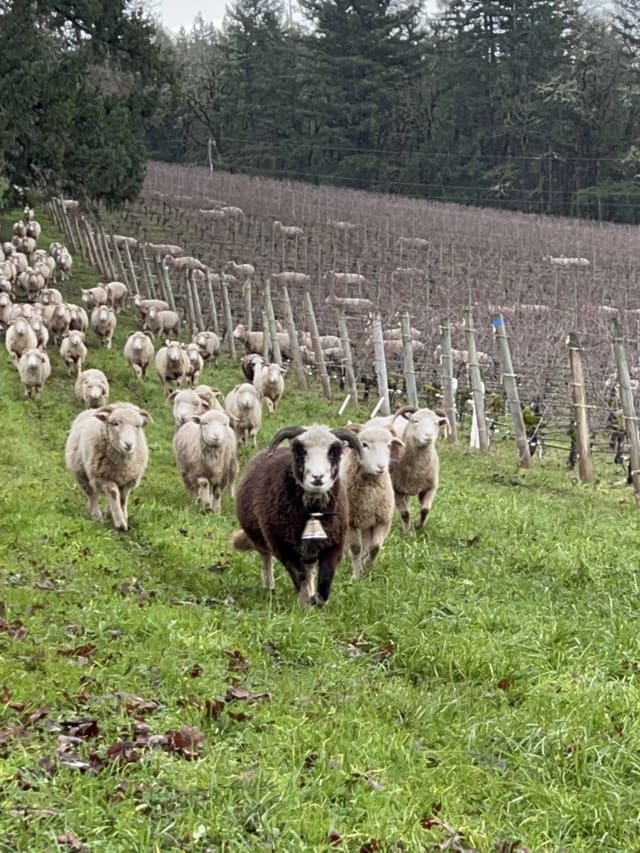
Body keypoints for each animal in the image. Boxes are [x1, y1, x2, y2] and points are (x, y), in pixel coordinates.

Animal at [64, 402, 150, 531]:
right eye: (115, 423)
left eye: (137, 426)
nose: (128, 445)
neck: (121, 463)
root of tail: (92, 409)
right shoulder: (101, 477)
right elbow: (113, 493)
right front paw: (120, 523)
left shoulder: (128, 481)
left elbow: (123, 499)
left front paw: (123, 516)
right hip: (82, 473)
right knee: (92, 495)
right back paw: (96, 515)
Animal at [231, 424, 362, 604]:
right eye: (300, 451)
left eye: (334, 451)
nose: (317, 477)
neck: (313, 512)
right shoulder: (283, 545)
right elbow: (299, 575)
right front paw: (305, 604)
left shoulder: (334, 543)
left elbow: (325, 578)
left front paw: (318, 602)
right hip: (259, 537)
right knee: (267, 558)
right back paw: (269, 587)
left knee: (309, 568)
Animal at [340, 424, 404, 579]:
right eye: (364, 444)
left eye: (389, 445)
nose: (381, 467)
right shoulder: (349, 522)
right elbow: (355, 548)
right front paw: (356, 575)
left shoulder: (382, 521)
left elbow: (374, 547)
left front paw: (368, 569)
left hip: (367, 523)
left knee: (366, 544)